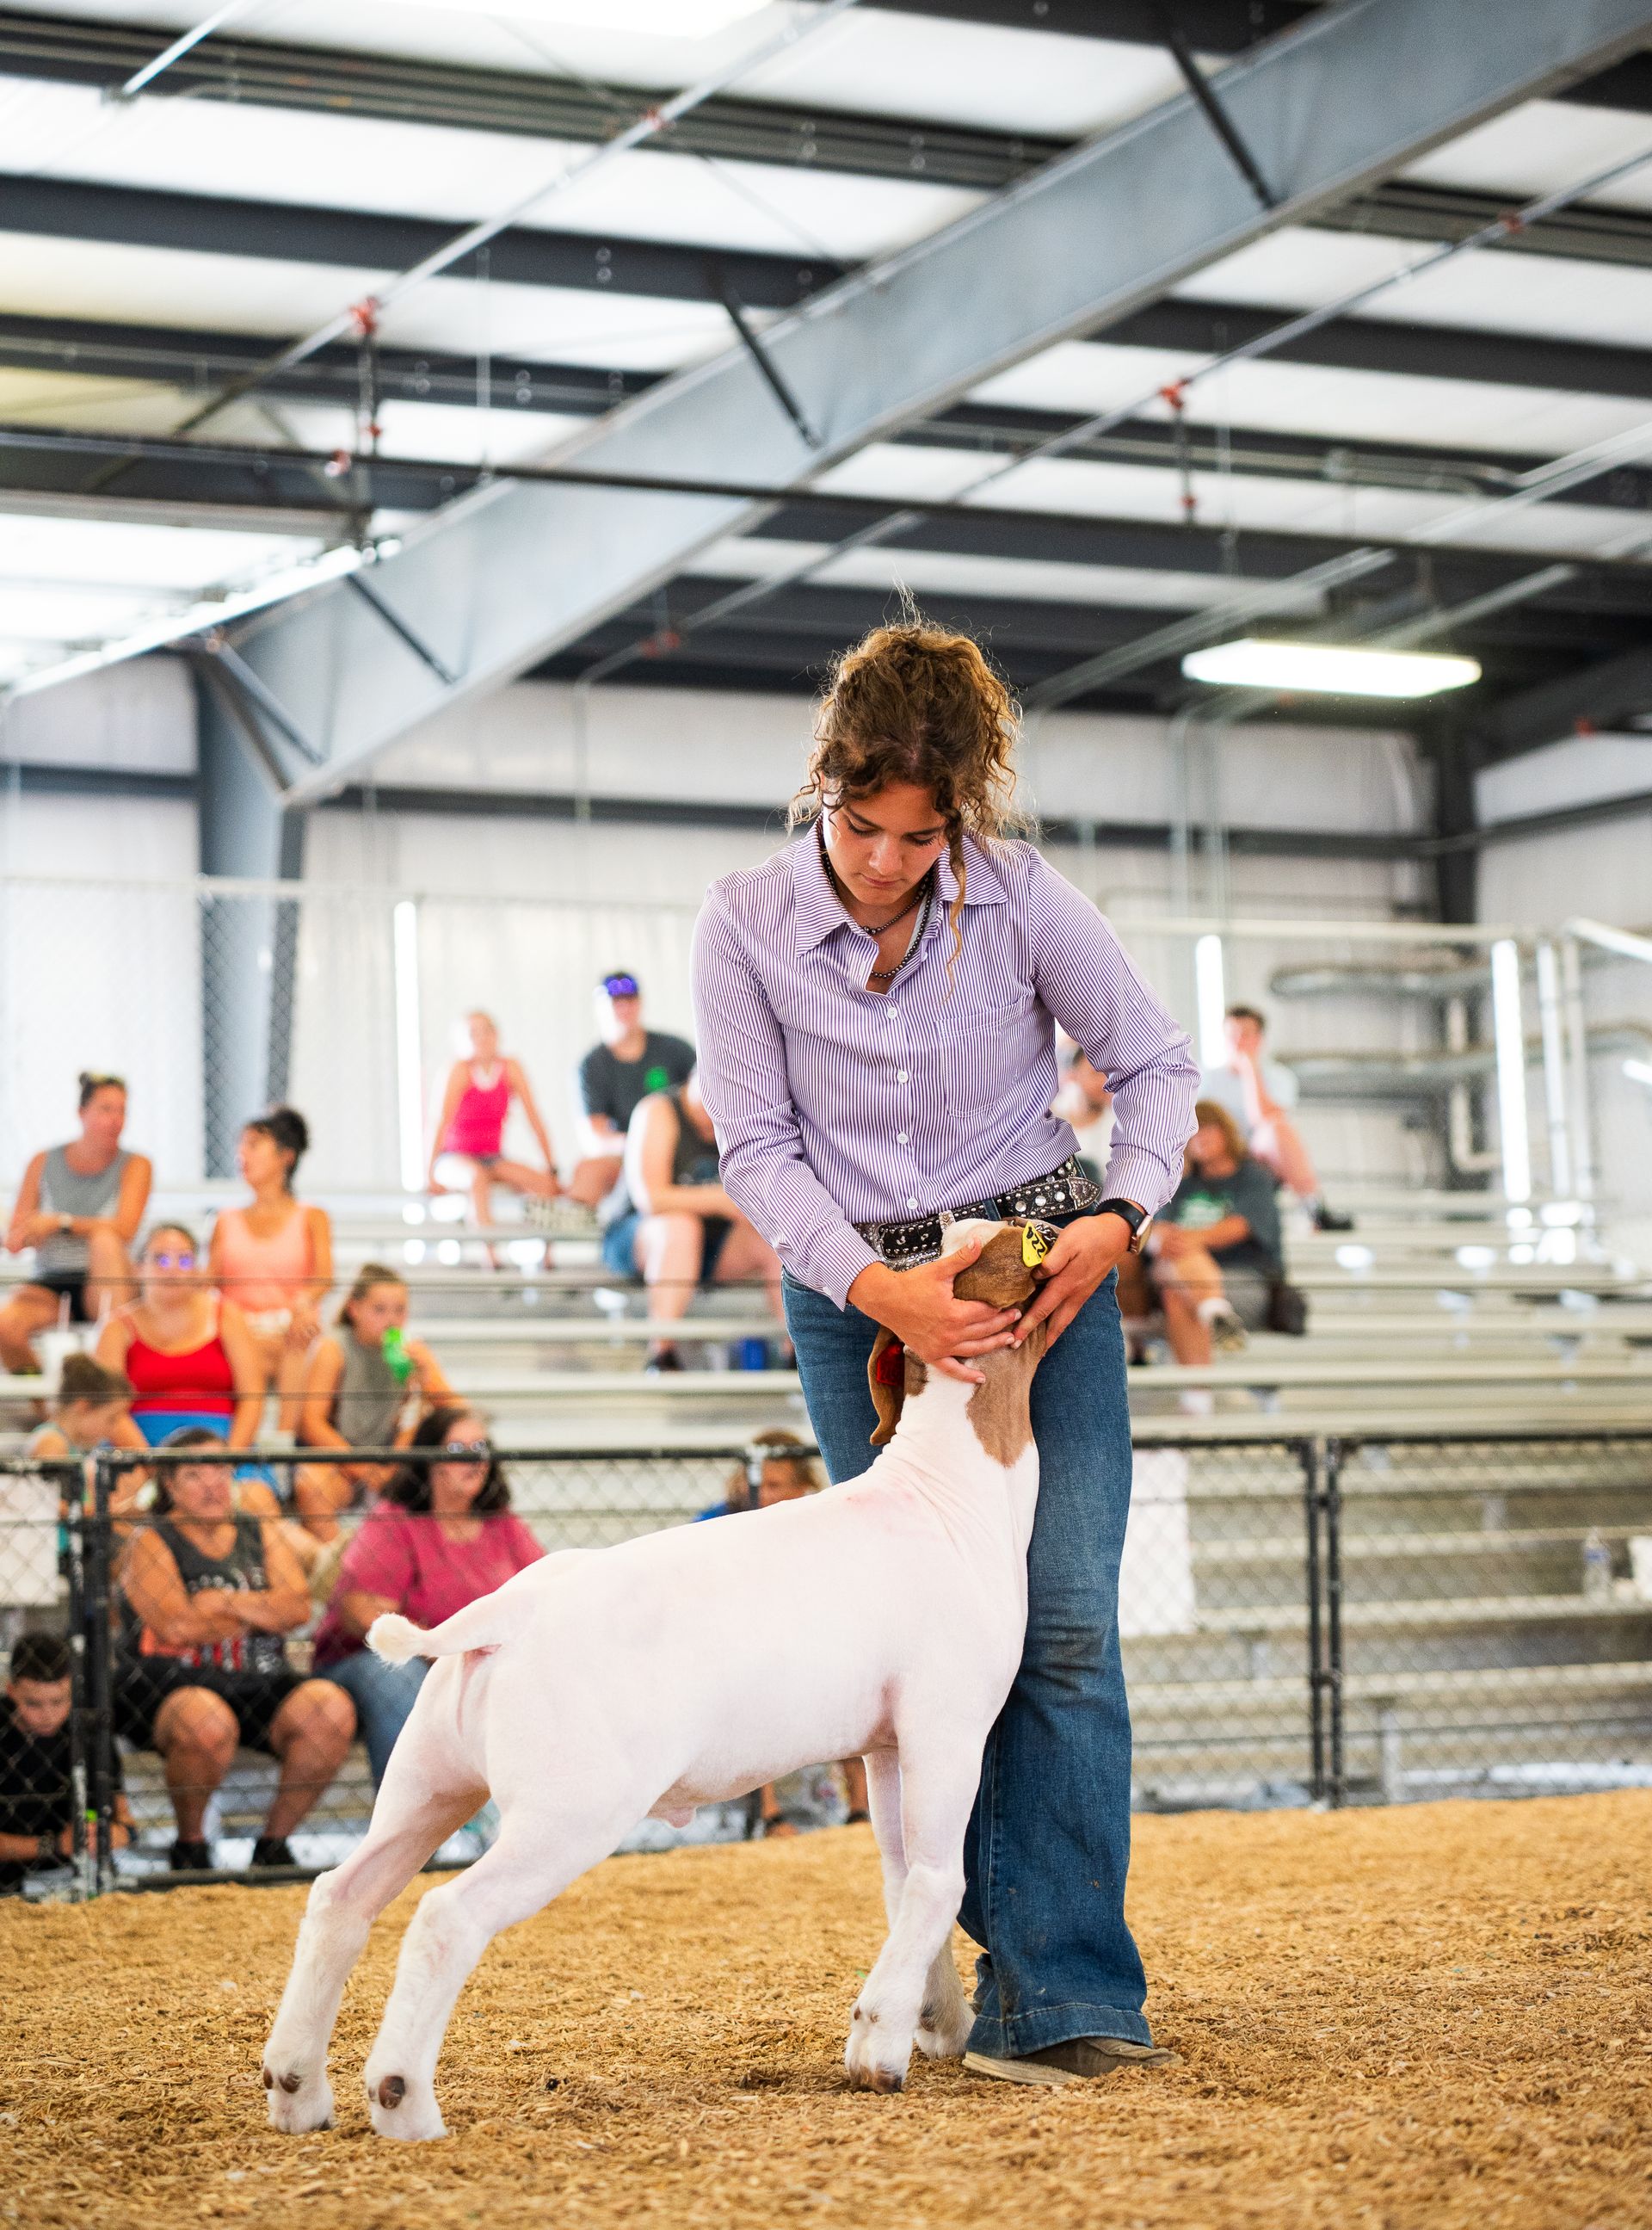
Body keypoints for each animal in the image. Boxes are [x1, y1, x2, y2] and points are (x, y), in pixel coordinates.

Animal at [261, 1217, 1053, 2141]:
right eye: (986, 1258)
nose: (1049, 1221)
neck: (950, 1494)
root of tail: (509, 1612)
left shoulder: (885, 1744)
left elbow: (901, 1882)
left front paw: (939, 2025)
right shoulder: (946, 1724)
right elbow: (937, 1881)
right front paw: (878, 2045)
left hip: (426, 1780)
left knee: (341, 1897)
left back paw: (297, 2088)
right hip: (571, 1808)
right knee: (443, 1915)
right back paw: (403, 2100)